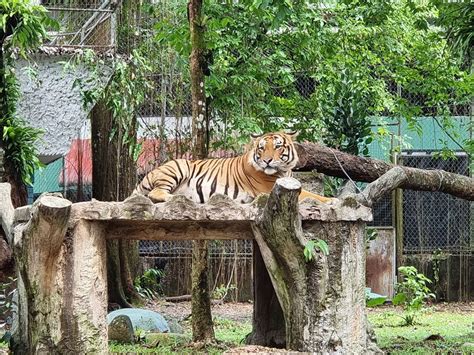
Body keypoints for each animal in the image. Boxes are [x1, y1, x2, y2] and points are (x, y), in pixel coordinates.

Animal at [132, 131, 334, 204]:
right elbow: (312, 195)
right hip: (179, 165)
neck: (284, 170)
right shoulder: (269, 188)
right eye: (262, 148)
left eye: (278, 146)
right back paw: (176, 198)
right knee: (156, 193)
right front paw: (332, 200)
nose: (267, 161)